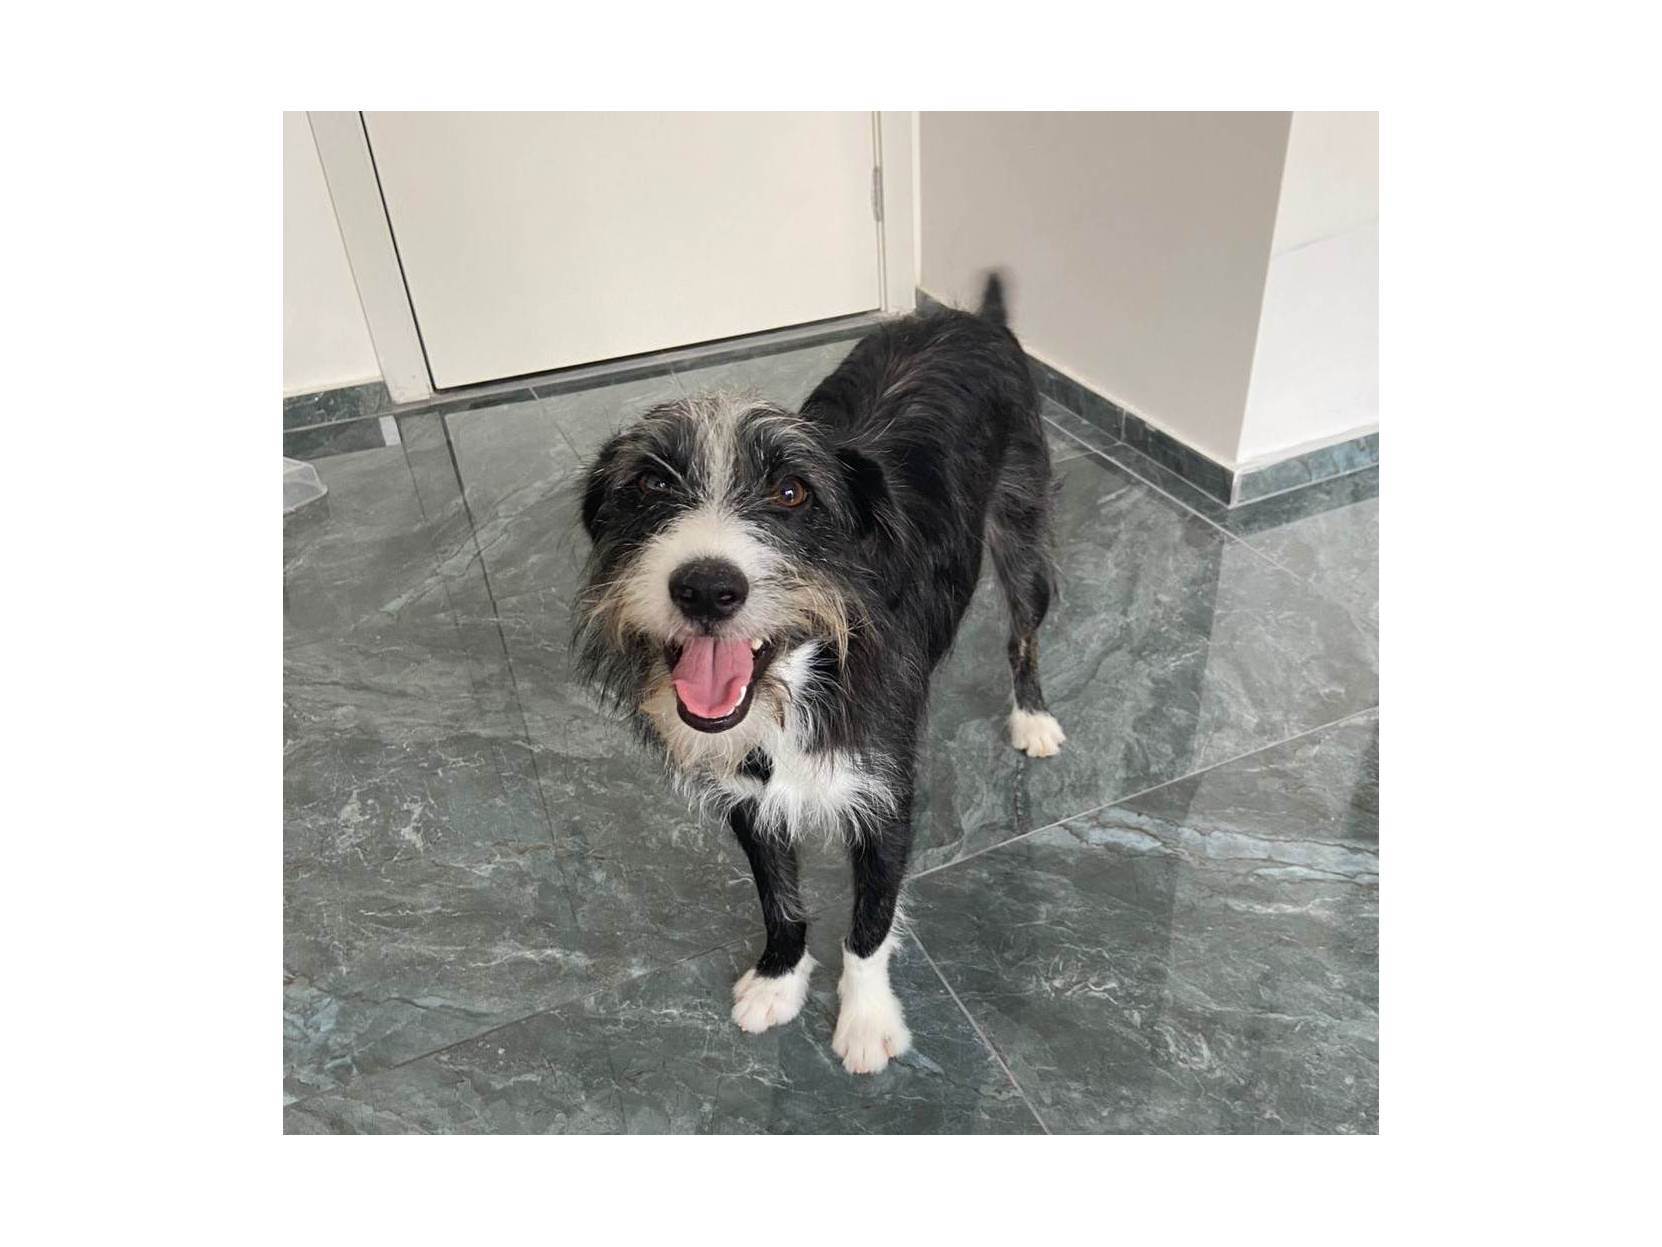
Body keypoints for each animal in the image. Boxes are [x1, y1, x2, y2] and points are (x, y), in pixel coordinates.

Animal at [573, 273, 1064, 1074]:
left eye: (793, 493)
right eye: (647, 485)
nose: (707, 588)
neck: (803, 676)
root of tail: (972, 317)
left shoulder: (886, 794)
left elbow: (870, 922)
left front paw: (865, 1021)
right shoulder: (748, 793)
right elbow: (781, 900)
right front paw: (779, 979)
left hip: (1023, 531)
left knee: (1024, 634)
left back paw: (1034, 718)